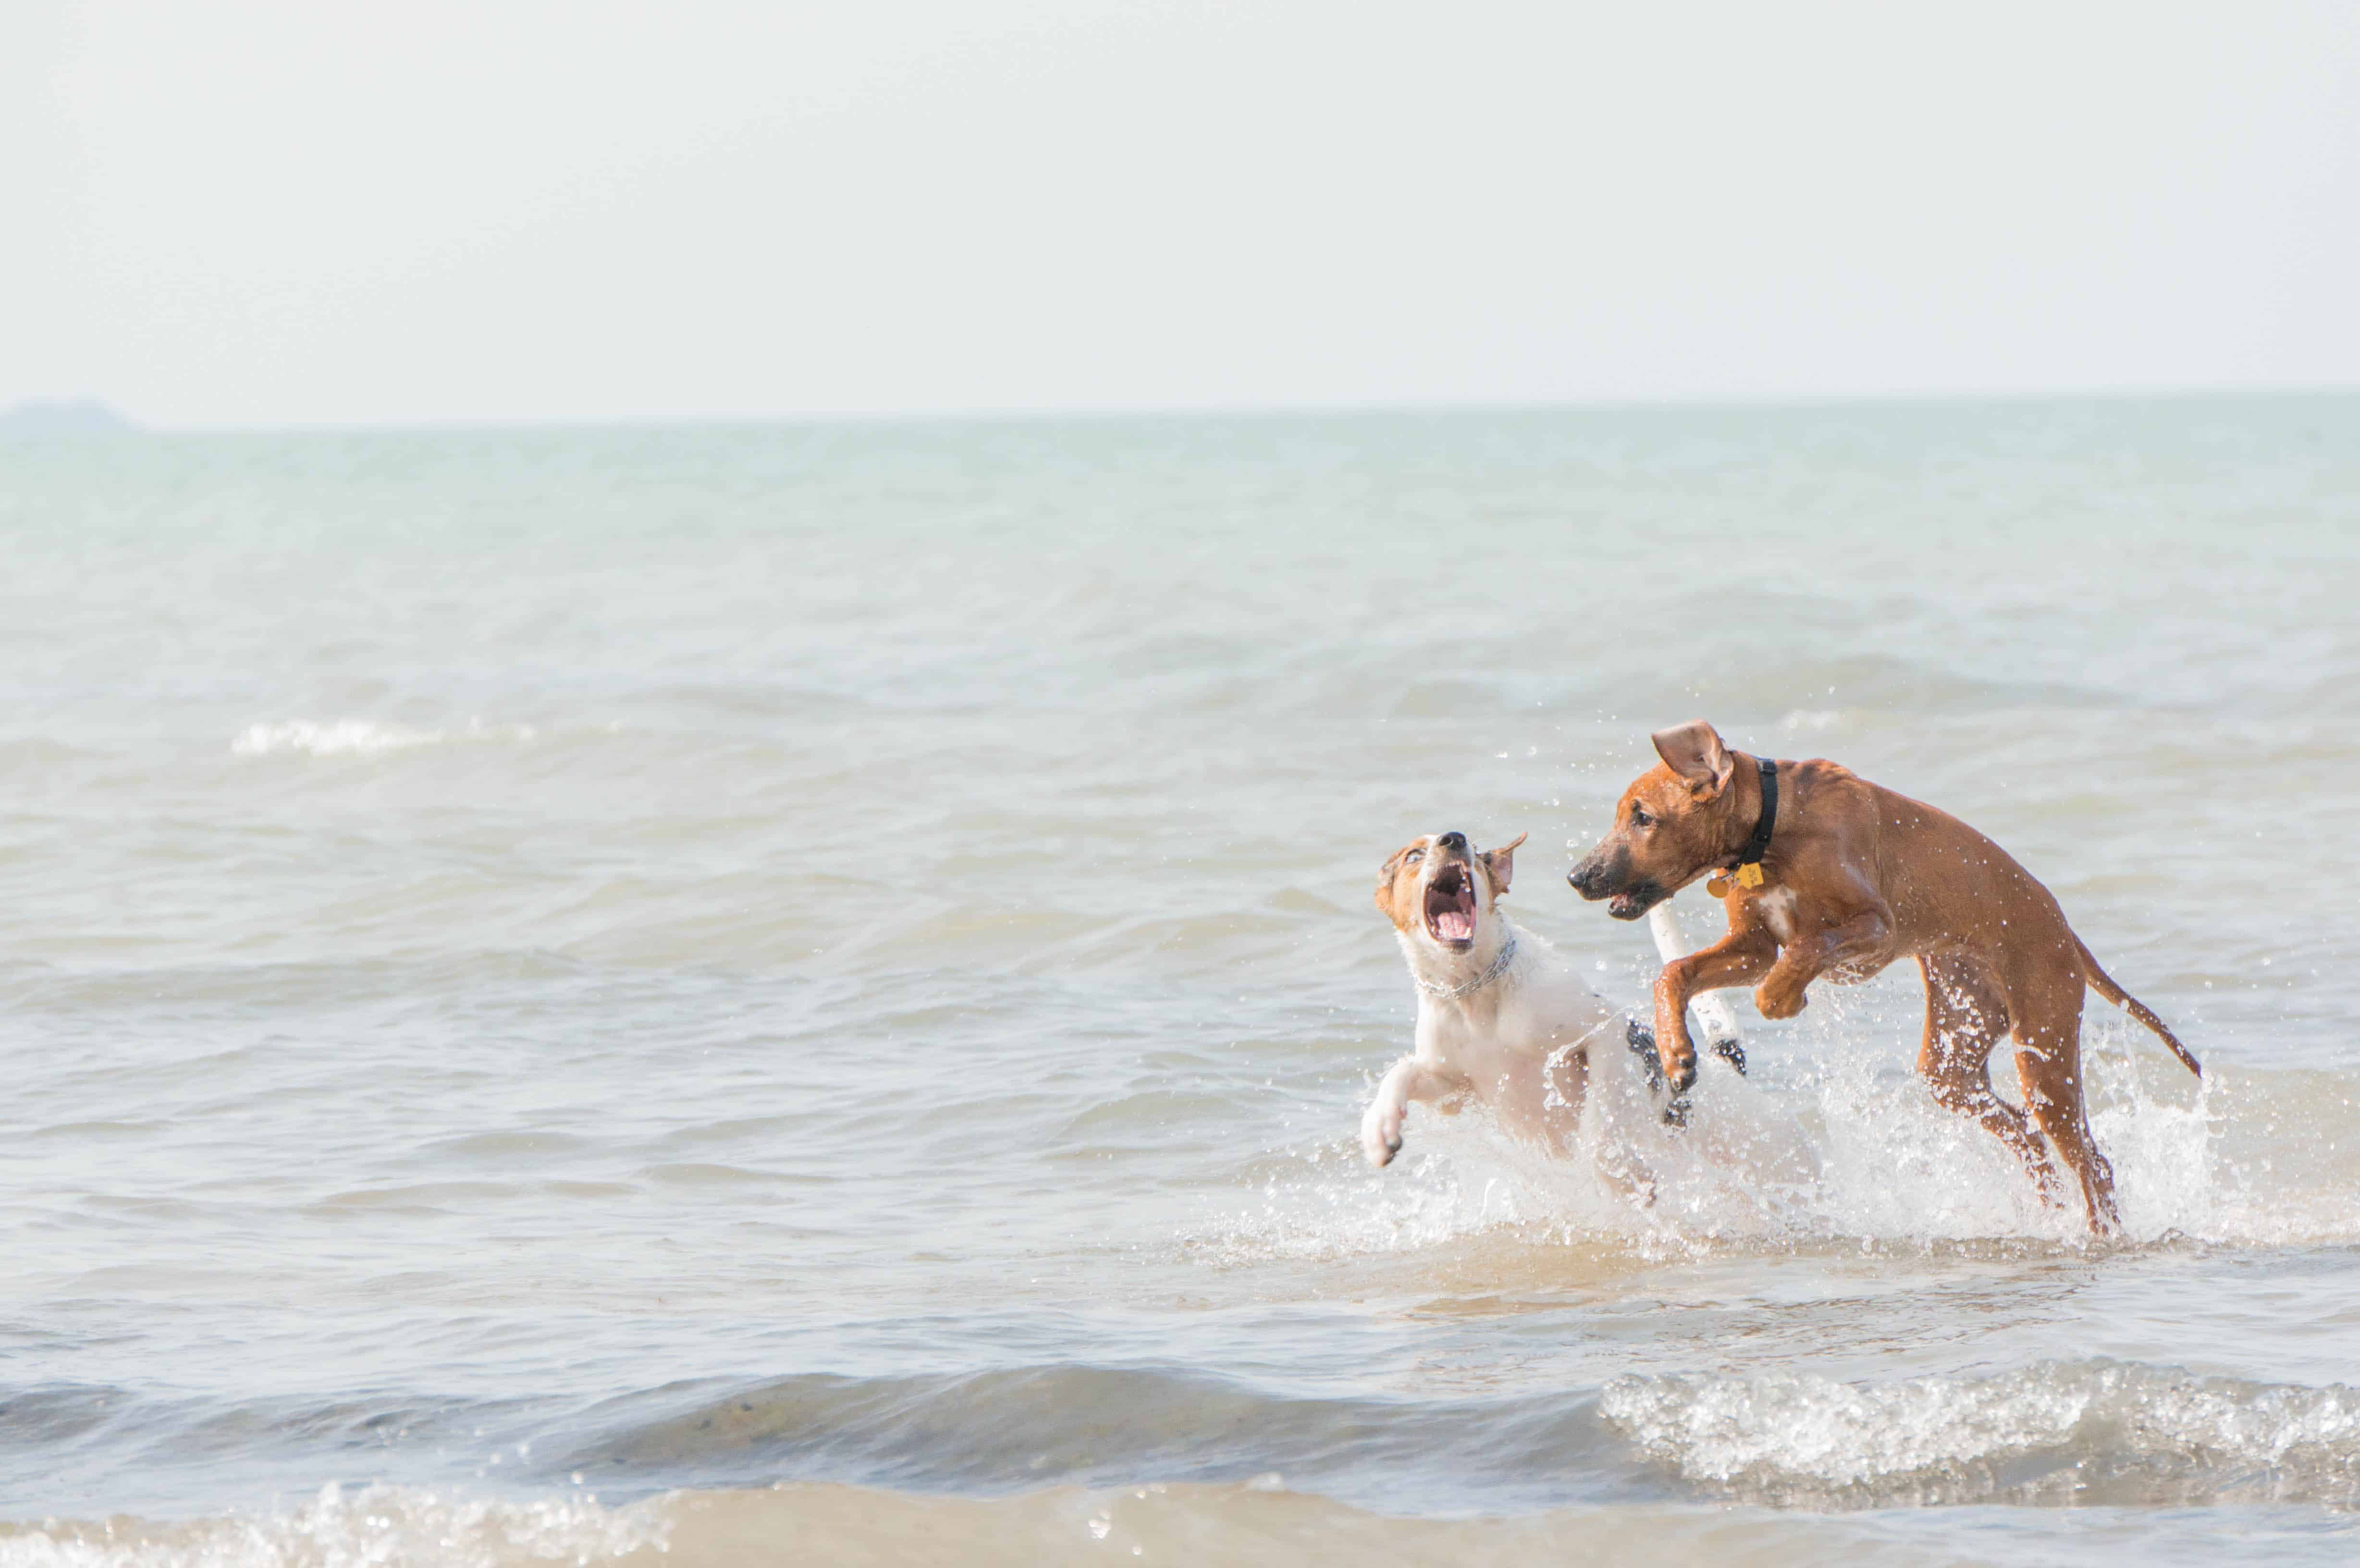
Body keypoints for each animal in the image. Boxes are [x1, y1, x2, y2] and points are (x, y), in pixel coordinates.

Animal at [1567, 718, 2190, 1228]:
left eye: (1643, 818)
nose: (1576, 876)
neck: (1774, 829)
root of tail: (2062, 925)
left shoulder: (1875, 928)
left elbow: (1808, 946)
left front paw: (1781, 999)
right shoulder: (1753, 948)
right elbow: (1673, 973)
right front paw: (1676, 1054)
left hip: (2043, 1049)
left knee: (2093, 1162)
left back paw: (2099, 1234)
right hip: (1952, 1057)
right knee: (2030, 1139)